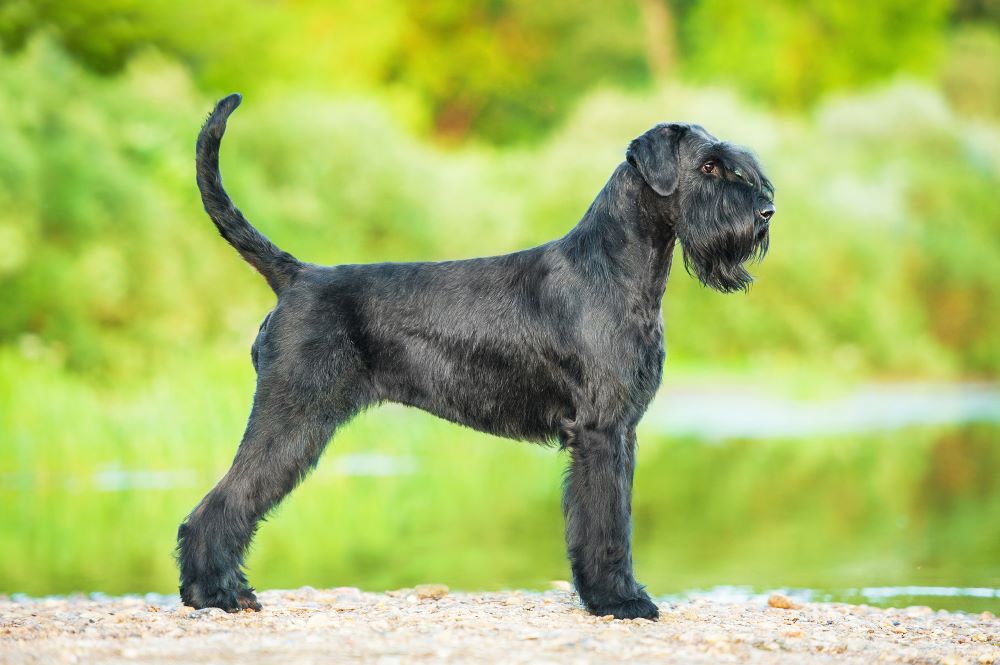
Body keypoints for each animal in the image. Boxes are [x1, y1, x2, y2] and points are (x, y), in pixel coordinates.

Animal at [178, 94, 772, 624]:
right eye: (709, 165)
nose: (767, 211)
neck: (612, 268)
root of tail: (297, 276)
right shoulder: (601, 430)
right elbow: (605, 524)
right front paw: (619, 601)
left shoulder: (622, 430)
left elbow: (616, 518)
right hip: (293, 416)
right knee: (222, 503)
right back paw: (216, 594)